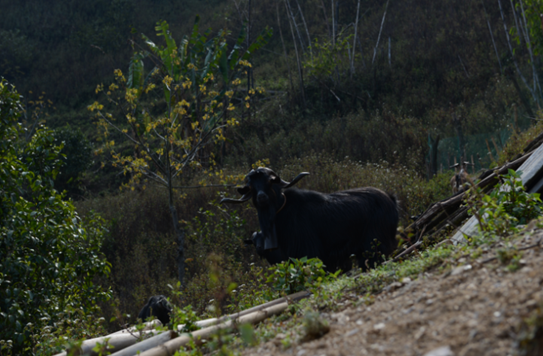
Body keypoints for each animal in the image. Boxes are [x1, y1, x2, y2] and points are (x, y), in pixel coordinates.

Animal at [221, 168, 400, 272]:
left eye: (269, 182)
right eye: (251, 187)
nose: (262, 197)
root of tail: (391, 199)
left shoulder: (311, 253)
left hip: (374, 243)